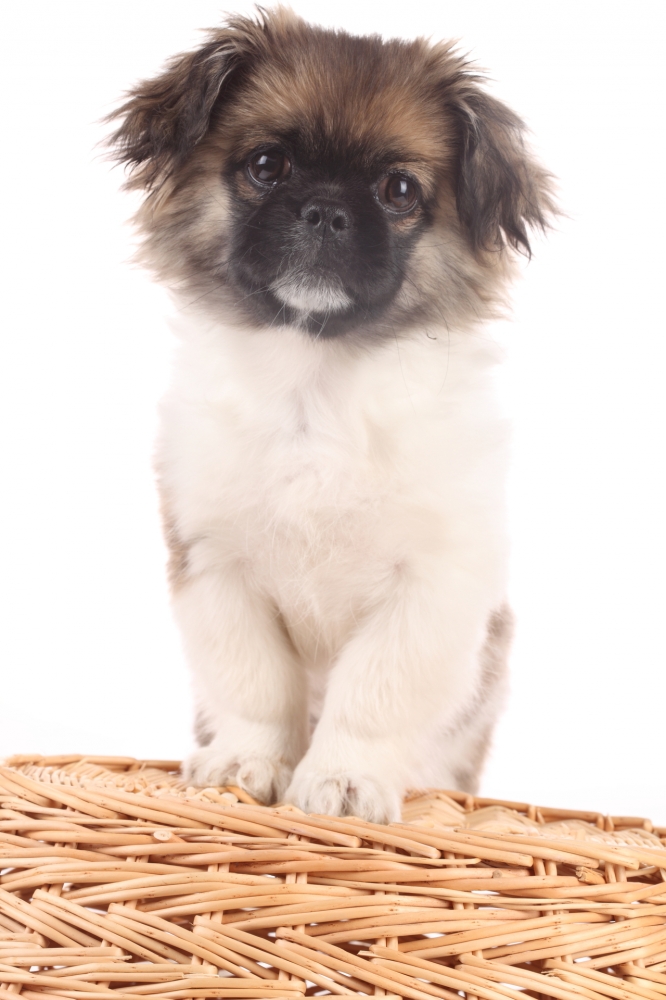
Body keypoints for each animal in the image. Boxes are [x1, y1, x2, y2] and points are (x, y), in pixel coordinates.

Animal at [109, 7, 553, 823]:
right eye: (266, 165)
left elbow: (372, 692)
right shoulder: (216, 567)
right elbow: (255, 684)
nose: (324, 210)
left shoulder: (432, 586)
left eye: (399, 189)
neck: (314, 386)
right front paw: (248, 763)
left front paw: (344, 780)